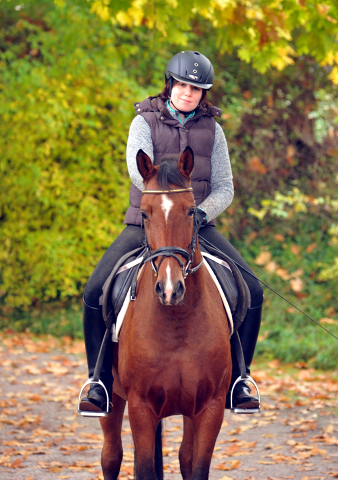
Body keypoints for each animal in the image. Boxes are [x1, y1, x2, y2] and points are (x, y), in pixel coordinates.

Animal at [99, 146, 234, 480]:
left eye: (191, 211)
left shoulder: (209, 408)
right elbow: (145, 467)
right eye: (145, 213)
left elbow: (196, 467)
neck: (177, 325)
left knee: (184, 456)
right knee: (111, 456)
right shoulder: (141, 408)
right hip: (112, 398)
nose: (170, 289)